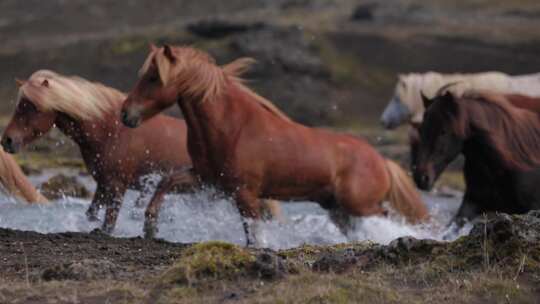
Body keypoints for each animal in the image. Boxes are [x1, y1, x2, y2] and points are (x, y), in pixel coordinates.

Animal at [120, 44, 428, 245]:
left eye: (153, 77)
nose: (125, 114)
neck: (232, 127)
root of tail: (382, 161)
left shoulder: (245, 193)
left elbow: (254, 234)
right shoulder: (207, 179)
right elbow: (165, 183)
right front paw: (149, 228)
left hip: (360, 205)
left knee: (388, 218)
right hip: (339, 209)